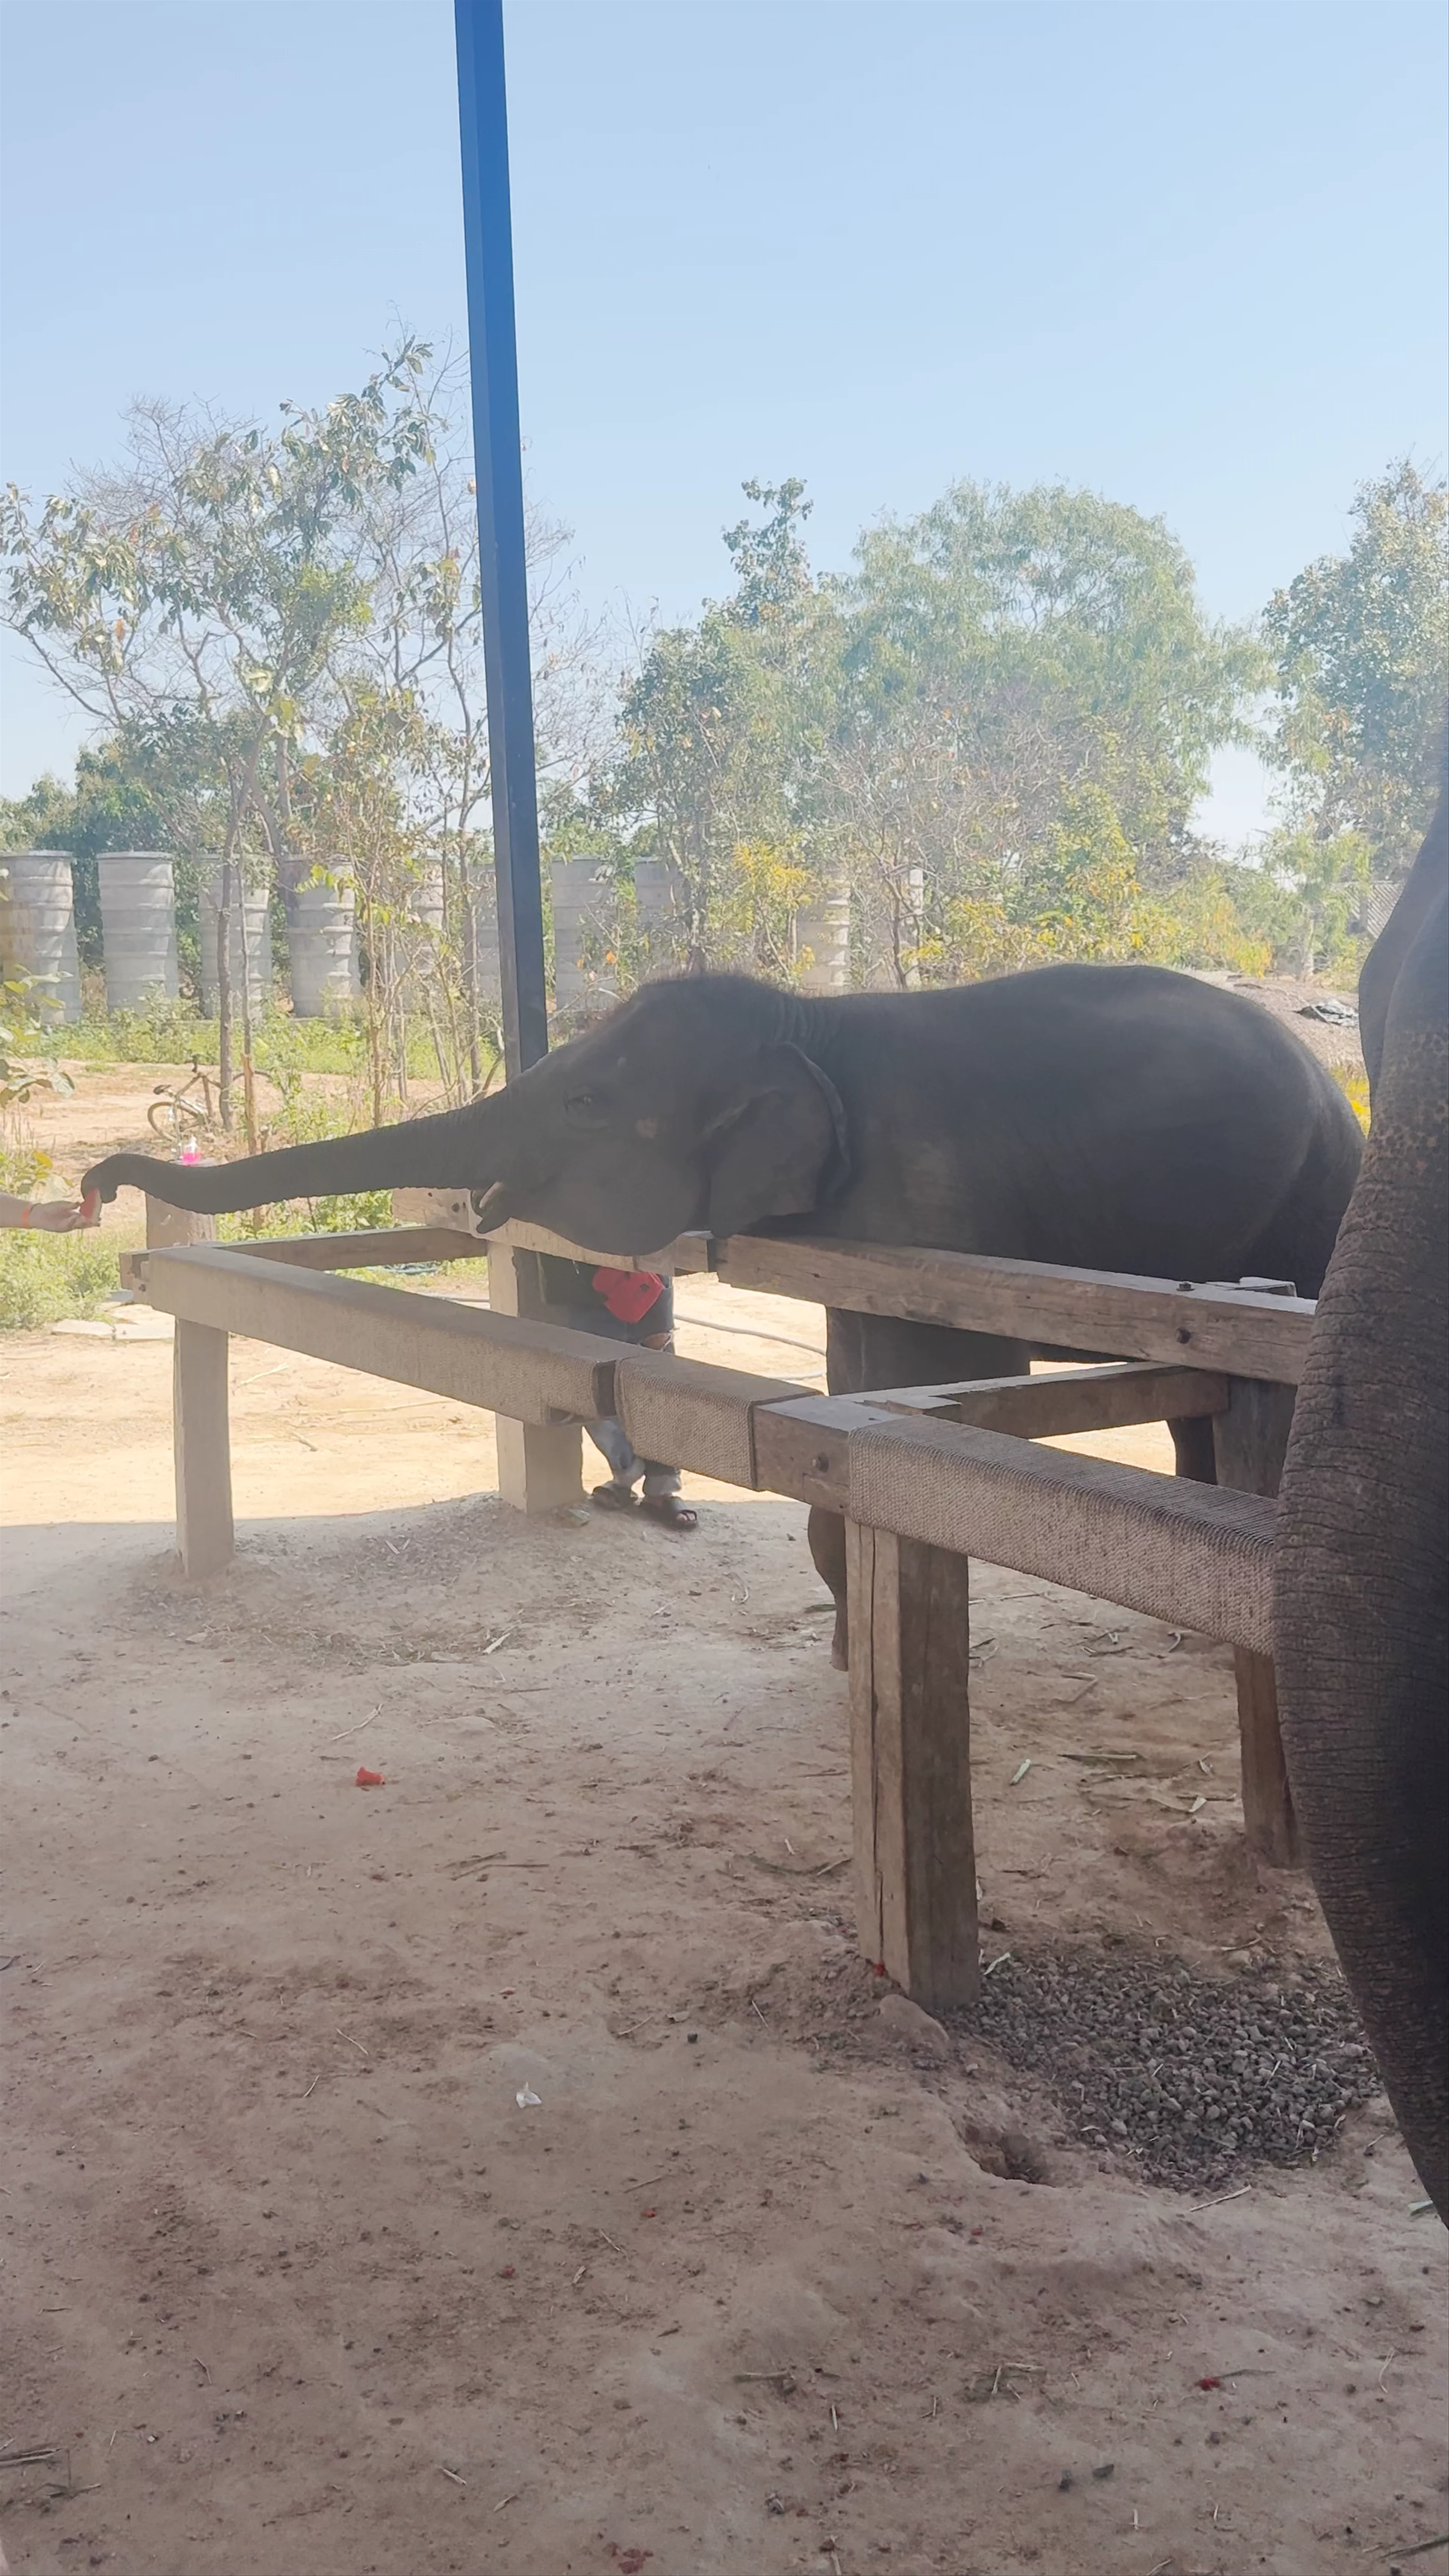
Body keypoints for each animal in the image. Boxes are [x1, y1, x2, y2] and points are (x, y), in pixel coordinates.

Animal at [87, 957, 1363, 1661]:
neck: (808, 1020)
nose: (100, 1183)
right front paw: (847, 1649)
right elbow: (853, 1389)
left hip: (1314, 1205)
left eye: (586, 1101)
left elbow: (925, 1383)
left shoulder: (926, 1204)